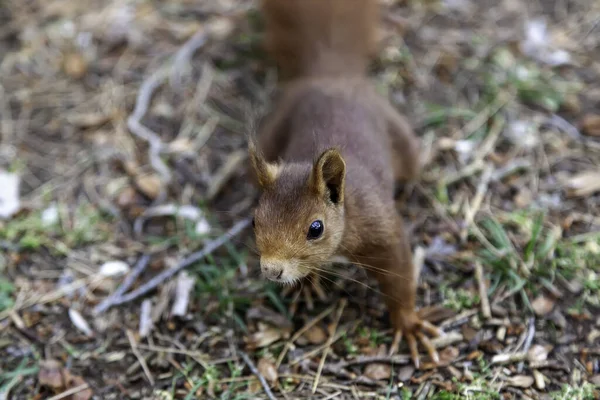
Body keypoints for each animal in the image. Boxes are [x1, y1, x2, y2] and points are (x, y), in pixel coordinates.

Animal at [248, 0, 446, 368]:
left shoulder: (381, 228)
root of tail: (332, 74)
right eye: (254, 221)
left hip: (403, 143)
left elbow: (400, 275)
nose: (271, 270)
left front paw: (409, 324)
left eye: (316, 228)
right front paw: (308, 282)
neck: (348, 212)